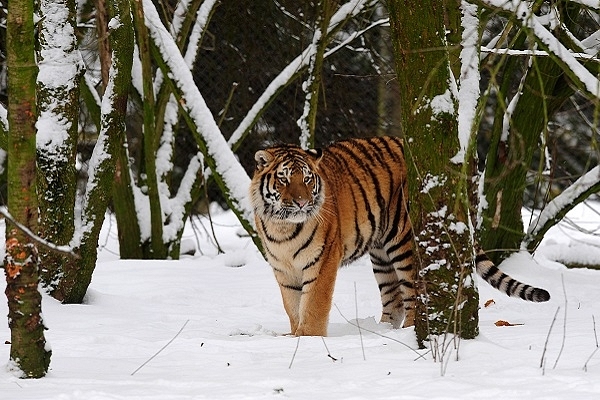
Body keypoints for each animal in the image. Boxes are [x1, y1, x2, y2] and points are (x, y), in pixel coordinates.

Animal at [250, 136, 552, 336]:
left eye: (307, 179)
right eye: (284, 179)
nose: (302, 203)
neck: (282, 226)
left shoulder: (322, 262)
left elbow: (313, 305)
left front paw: (308, 341)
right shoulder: (283, 269)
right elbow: (293, 307)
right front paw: (295, 337)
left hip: (404, 244)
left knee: (414, 295)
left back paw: (406, 333)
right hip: (381, 255)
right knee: (393, 299)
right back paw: (382, 331)